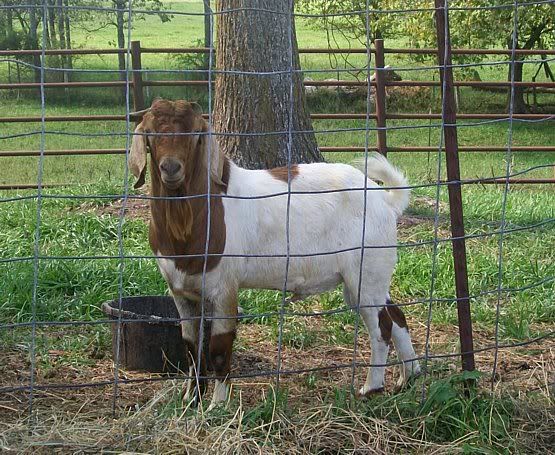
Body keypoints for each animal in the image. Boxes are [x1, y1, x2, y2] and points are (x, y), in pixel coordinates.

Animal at [128, 98, 421, 410]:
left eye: (196, 134)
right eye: (149, 134)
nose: (171, 168)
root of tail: (386, 202)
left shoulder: (224, 286)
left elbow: (219, 347)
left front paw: (218, 405)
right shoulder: (180, 291)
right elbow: (192, 346)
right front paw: (191, 400)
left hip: (367, 267)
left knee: (381, 326)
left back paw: (370, 388)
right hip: (374, 272)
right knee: (396, 315)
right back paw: (408, 378)